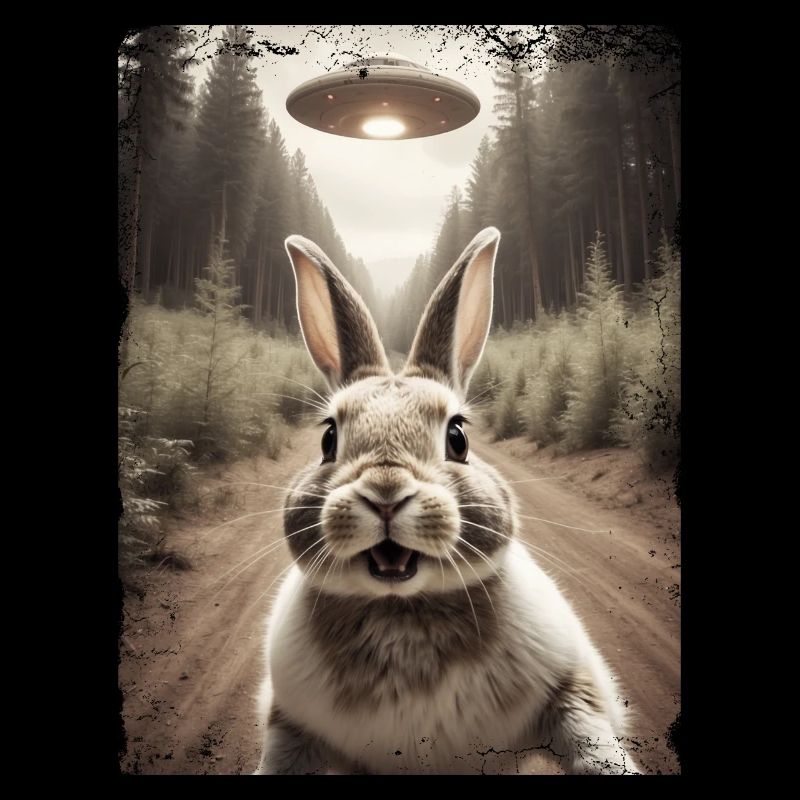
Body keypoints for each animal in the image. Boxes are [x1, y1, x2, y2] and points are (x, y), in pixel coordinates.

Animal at [254, 227, 640, 775]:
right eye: (328, 439)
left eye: (458, 437)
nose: (386, 493)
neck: (402, 611)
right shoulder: (290, 721)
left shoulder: (572, 686)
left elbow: (593, 741)